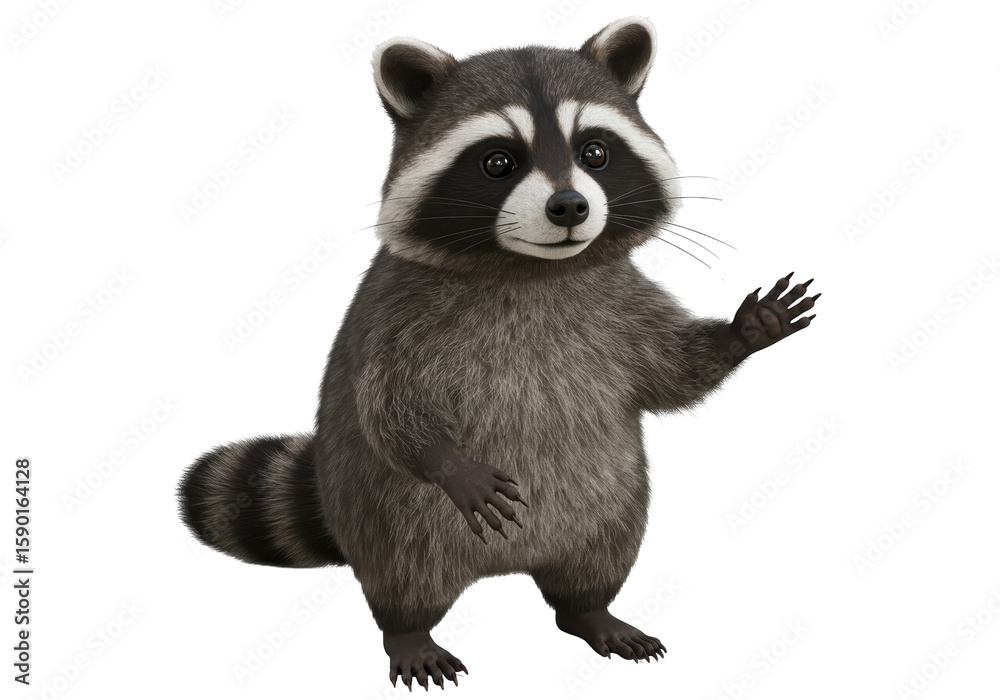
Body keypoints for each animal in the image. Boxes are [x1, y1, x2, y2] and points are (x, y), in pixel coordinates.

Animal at [179, 16, 820, 690]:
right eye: (497, 162)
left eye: (595, 152)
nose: (570, 206)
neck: (531, 269)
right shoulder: (398, 316)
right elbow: (389, 407)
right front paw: (448, 462)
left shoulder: (622, 302)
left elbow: (672, 370)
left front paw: (744, 330)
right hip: (389, 516)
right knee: (400, 576)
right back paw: (409, 632)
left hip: (606, 508)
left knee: (598, 556)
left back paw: (591, 609)